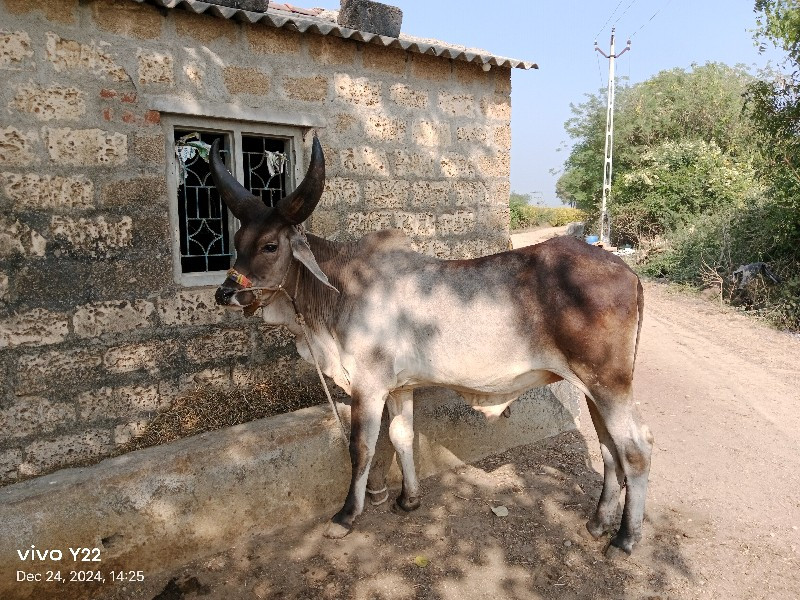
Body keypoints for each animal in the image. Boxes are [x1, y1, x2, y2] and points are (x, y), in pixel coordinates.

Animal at [209, 134, 652, 556]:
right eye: (238, 239)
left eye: (270, 245)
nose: (225, 293)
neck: (340, 290)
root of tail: (625, 270)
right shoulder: (398, 388)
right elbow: (402, 437)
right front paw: (409, 499)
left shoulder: (367, 386)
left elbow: (361, 447)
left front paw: (346, 515)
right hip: (592, 389)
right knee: (609, 450)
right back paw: (598, 522)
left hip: (608, 384)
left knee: (636, 449)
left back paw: (624, 539)